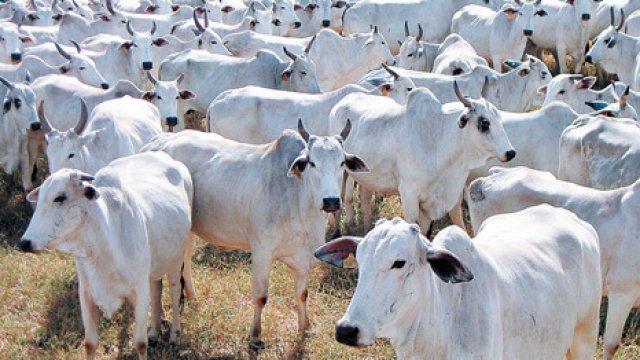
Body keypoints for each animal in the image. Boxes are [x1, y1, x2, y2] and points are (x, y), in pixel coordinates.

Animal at [18, 150, 194, 358]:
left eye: (60, 197)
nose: (25, 242)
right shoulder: (86, 294)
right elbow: (90, 343)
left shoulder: (139, 292)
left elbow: (140, 343)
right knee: (156, 289)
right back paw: (154, 331)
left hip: (175, 262)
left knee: (175, 292)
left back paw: (175, 334)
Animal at [142, 120, 368, 348]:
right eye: (311, 163)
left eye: (342, 162)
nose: (331, 201)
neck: (299, 201)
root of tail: (156, 141)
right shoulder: (262, 251)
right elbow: (261, 296)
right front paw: (255, 335)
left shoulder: (305, 256)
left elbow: (302, 294)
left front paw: (305, 327)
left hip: (187, 231)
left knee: (185, 263)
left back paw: (192, 301)